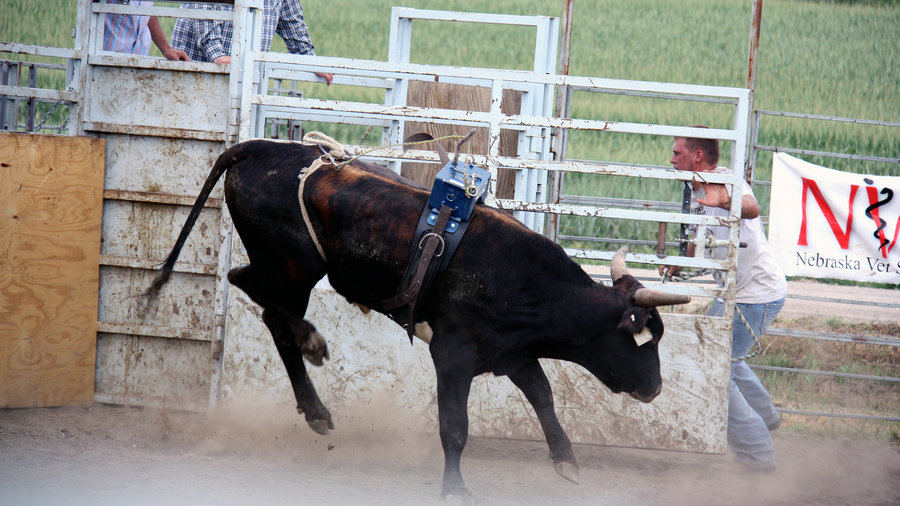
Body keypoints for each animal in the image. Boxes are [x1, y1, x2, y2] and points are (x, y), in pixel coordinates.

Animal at [144, 137, 689, 499]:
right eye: (645, 339)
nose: (656, 388)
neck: (526, 280)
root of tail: (254, 148)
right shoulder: (453, 354)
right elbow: (455, 425)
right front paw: (455, 487)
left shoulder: (511, 353)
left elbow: (543, 397)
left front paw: (566, 459)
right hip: (292, 268)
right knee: (249, 287)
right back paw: (313, 346)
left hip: (290, 272)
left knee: (269, 316)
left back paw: (316, 409)